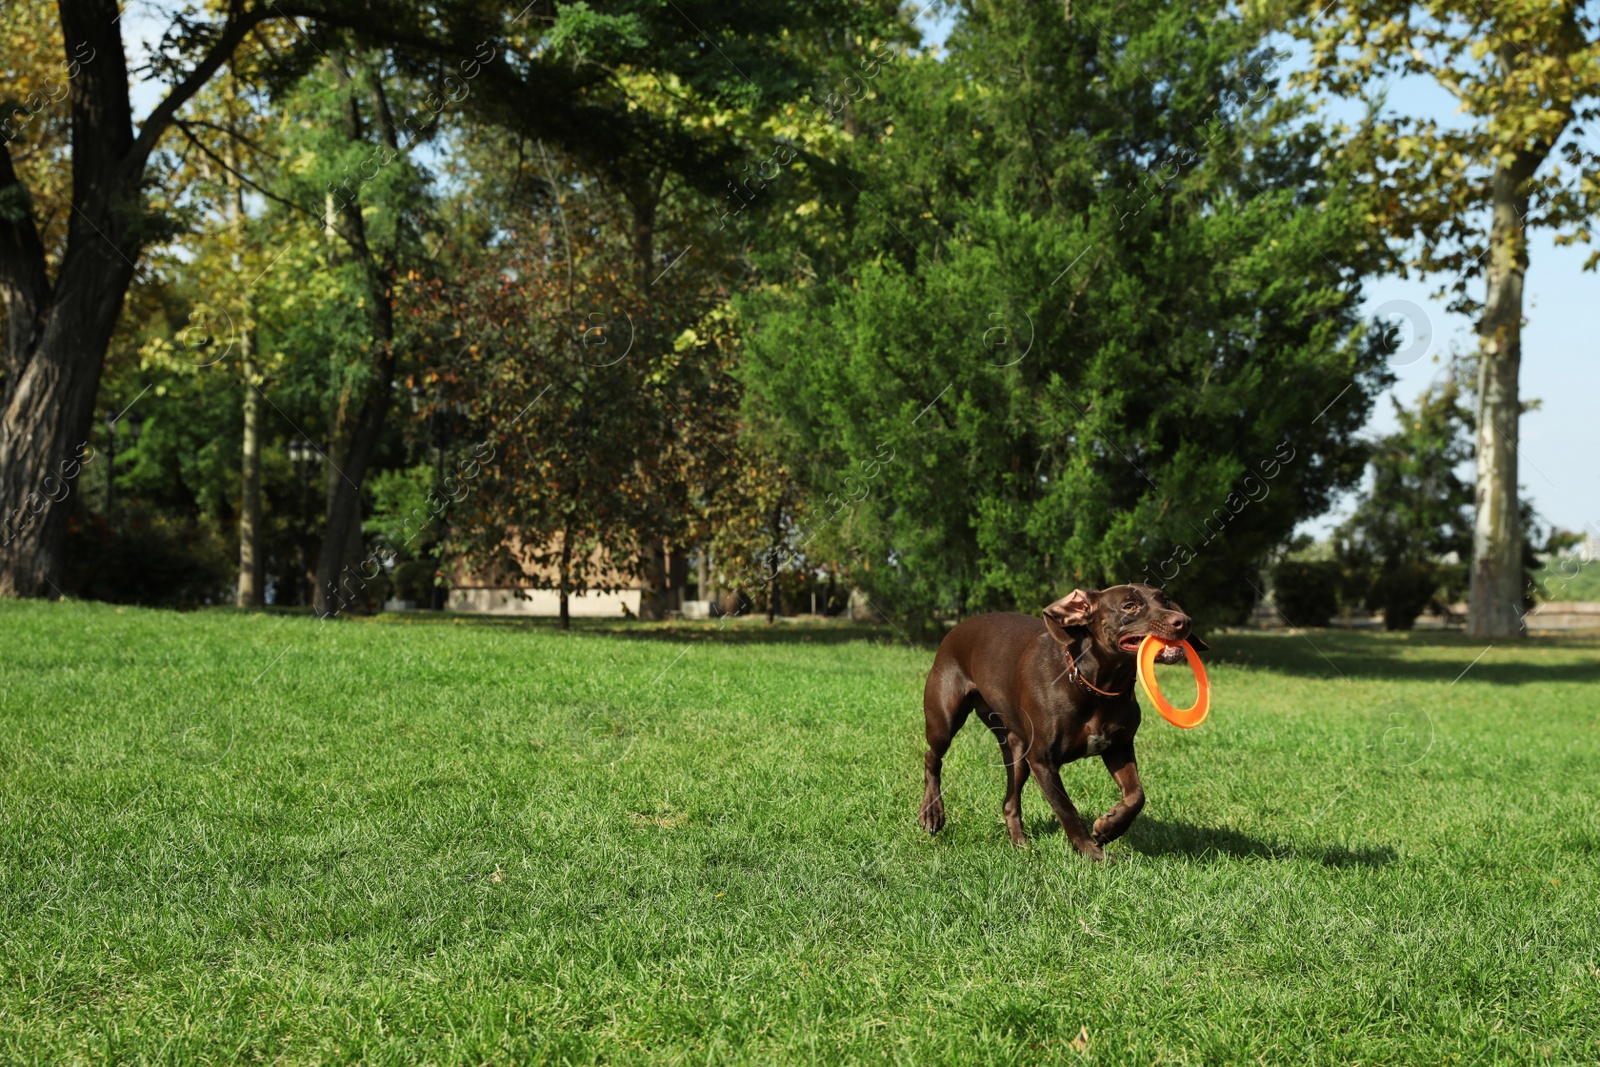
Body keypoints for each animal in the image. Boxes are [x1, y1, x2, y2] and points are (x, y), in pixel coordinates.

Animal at [921, 585, 1203, 857]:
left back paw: (1020, 843)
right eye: (1129, 606)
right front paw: (1092, 853)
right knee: (932, 757)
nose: (1184, 621)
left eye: (1165, 600)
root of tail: (957, 628)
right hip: (944, 720)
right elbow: (1067, 810)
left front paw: (1108, 827)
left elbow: (1136, 796)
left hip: (1017, 751)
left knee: (1010, 802)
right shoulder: (1042, 761)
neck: (1093, 687)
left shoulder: (1119, 748)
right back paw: (931, 813)